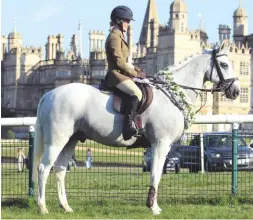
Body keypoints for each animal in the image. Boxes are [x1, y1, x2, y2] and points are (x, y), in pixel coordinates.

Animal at [32, 41, 240, 215]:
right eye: (224, 65)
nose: (236, 91)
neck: (171, 93)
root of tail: (49, 94)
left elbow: (156, 174)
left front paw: (153, 205)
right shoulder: (160, 144)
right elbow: (155, 174)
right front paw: (153, 207)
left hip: (71, 140)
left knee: (60, 169)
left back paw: (65, 206)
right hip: (57, 141)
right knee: (43, 168)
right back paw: (42, 207)